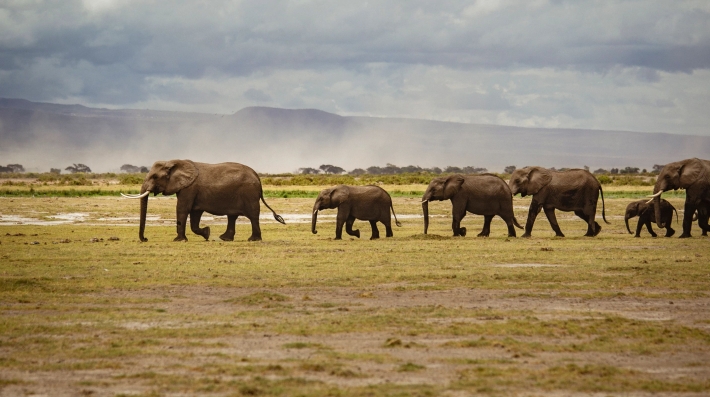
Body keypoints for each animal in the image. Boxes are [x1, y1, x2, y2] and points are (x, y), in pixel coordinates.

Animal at [121, 159, 286, 241]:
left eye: (155, 177)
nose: (145, 239)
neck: (174, 162)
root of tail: (257, 177)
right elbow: (195, 214)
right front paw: (206, 233)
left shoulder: (189, 188)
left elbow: (182, 209)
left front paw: (179, 240)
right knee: (232, 216)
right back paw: (225, 239)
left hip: (249, 193)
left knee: (252, 216)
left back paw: (253, 240)